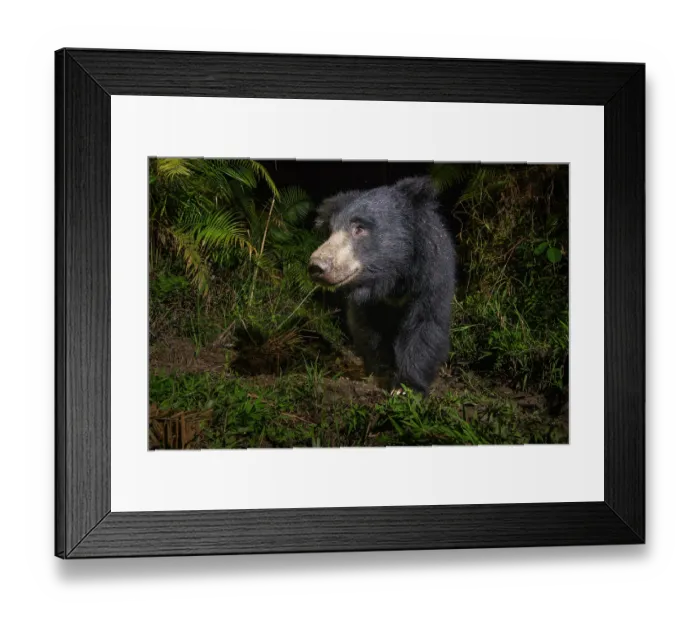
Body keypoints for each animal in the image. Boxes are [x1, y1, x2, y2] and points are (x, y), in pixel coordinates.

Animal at [308, 176, 456, 396]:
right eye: (331, 231)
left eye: (359, 228)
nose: (317, 266)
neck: (391, 277)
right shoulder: (367, 301)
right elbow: (368, 329)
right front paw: (381, 372)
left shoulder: (430, 275)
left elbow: (425, 324)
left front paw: (405, 387)